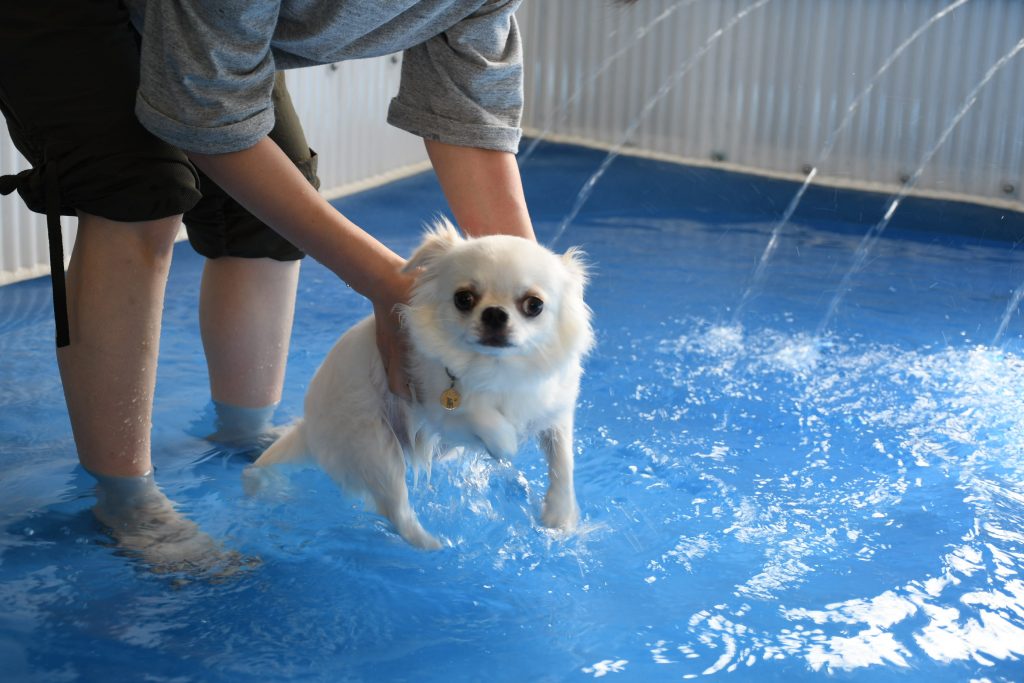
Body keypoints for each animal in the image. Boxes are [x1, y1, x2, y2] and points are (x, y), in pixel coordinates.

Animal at [251, 219, 598, 548]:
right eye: (464, 299)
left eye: (534, 305)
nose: (495, 314)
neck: (497, 367)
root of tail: (309, 427)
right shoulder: (435, 406)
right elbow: (480, 415)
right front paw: (505, 442)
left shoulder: (555, 409)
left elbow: (562, 459)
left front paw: (560, 514)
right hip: (374, 448)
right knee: (396, 510)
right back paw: (429, 544)